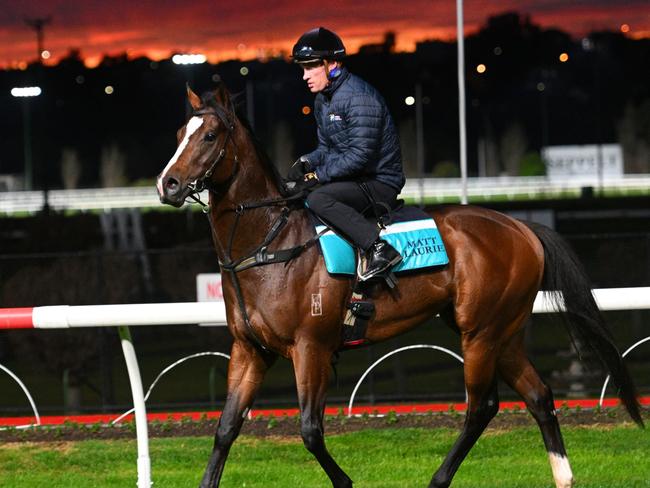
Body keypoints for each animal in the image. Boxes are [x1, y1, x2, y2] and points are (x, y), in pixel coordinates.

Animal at [156, 82, 636, 486]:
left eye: (210, 136)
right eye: (179, 132)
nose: (168, 184)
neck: (270, 244)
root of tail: (521, 228)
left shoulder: (310, 347)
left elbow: (310, 431)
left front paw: (346, 481)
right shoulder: (250, 349)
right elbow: (225, 429)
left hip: (480, 332)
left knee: (481, 407)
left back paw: (439, 478)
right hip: (503, 331)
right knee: (538, 395)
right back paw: (563, 477)